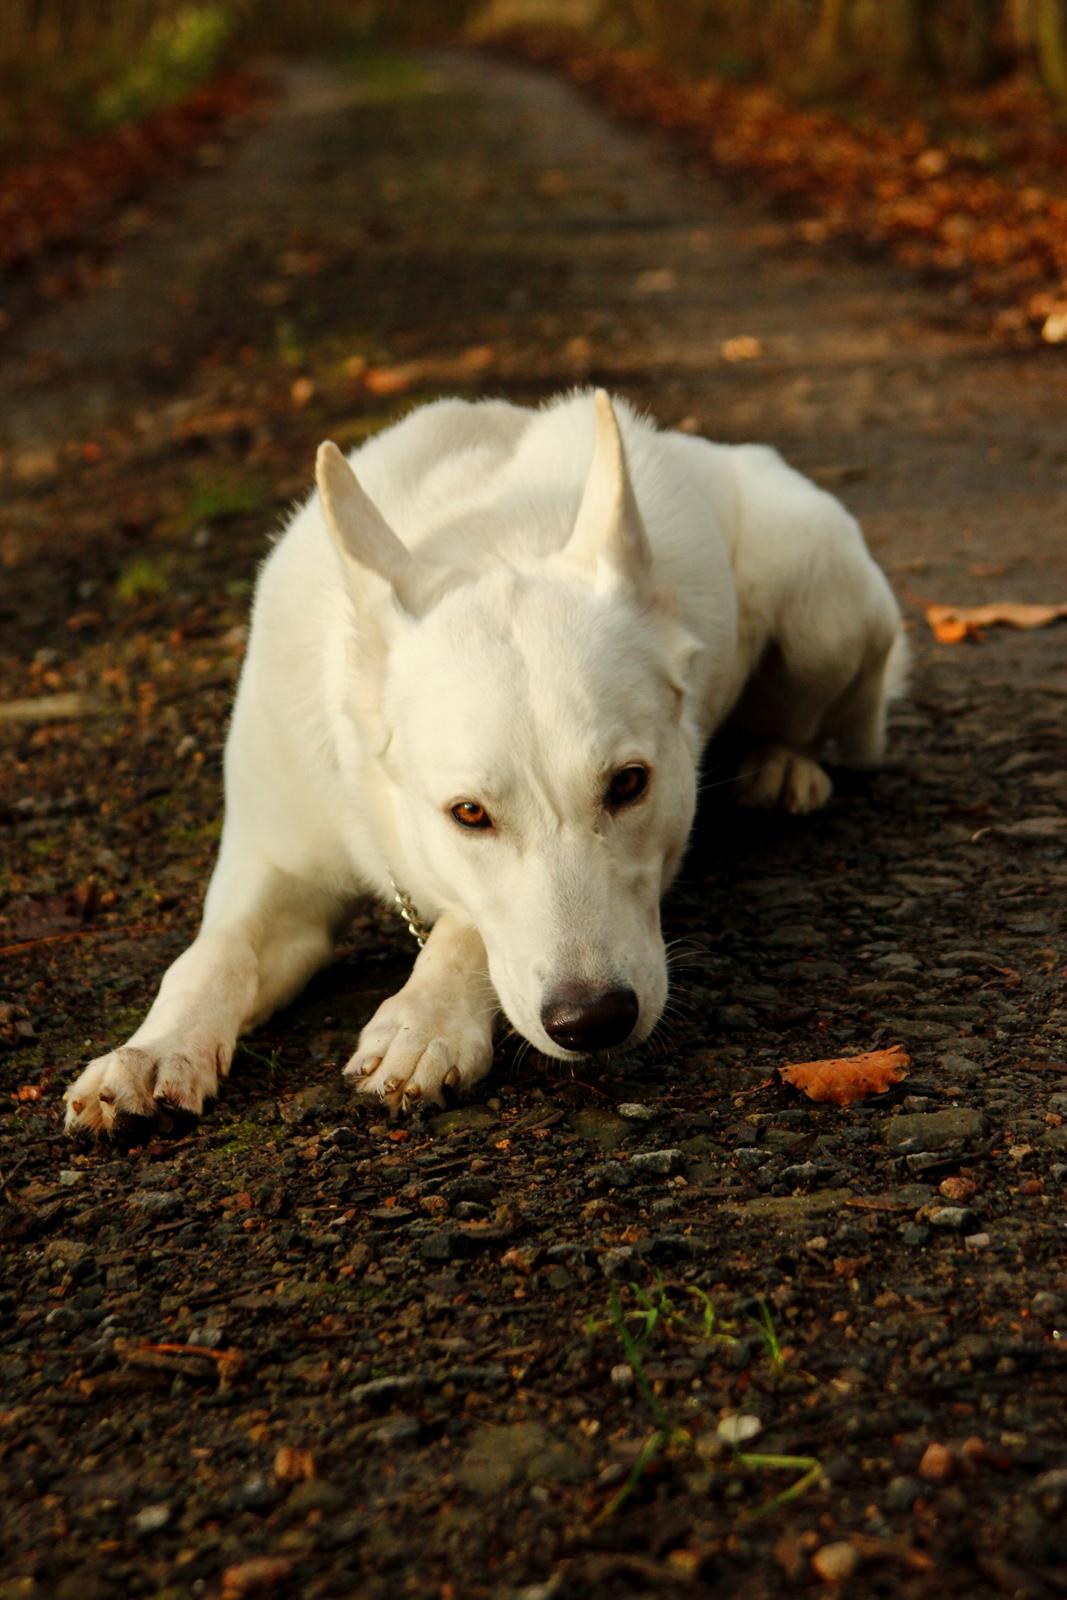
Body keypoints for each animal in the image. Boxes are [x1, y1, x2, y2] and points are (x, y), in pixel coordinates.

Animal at [62, 390, 908, 1139]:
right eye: (468, 814)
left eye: (628, 785)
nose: (593, 1021)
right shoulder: (276, 864)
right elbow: (211, 955)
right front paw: (151, 1050)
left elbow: (466, 926)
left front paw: (424, 1015)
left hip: (818, 601)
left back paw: (785, 764)